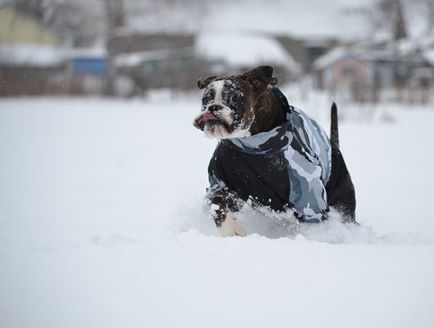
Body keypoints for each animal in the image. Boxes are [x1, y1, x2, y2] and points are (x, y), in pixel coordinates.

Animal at [193, 65, 356, 237]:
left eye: (234, 98)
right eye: (206, 99)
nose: (213, 107)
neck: (251, 145)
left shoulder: (309, 196)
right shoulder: (221, 184)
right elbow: (217, 203)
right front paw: (230, 229)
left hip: (343, 202)